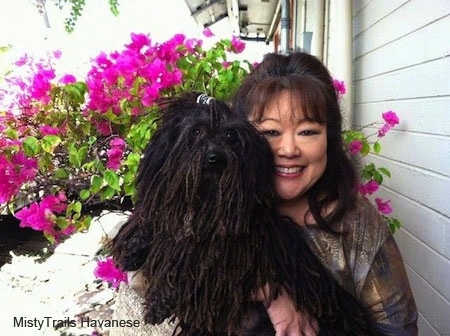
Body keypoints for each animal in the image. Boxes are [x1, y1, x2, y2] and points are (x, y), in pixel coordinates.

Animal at [109, 92, 380, 336]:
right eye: (196, 132)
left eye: (230, 136)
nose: (214, 157)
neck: (204, 204)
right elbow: (147, 219)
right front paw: (131, 249)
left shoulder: (225, 247)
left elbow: (187, 258)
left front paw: (158, 302)